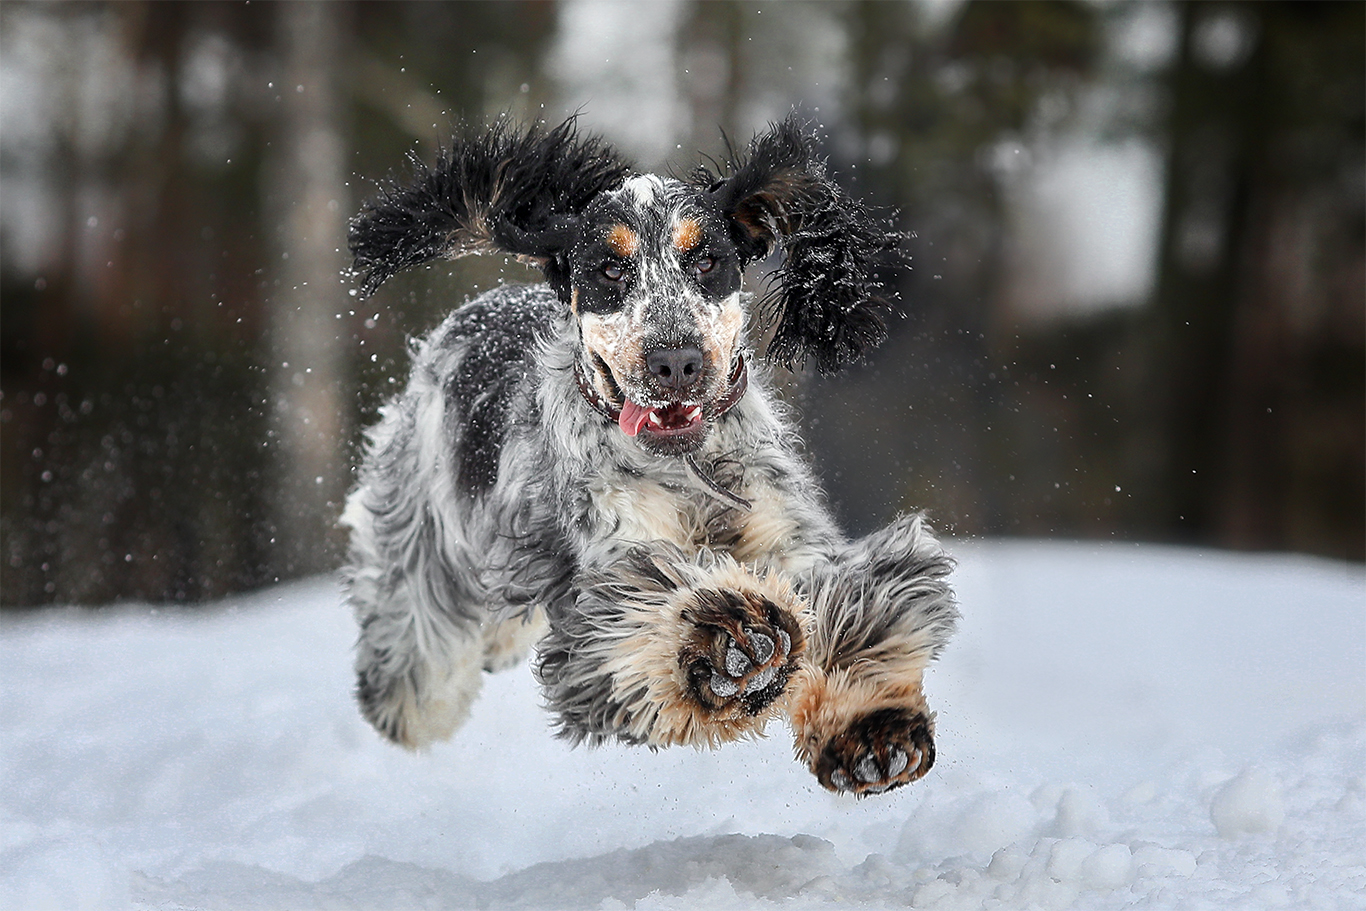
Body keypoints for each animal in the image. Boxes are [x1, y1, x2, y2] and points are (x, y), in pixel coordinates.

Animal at [344, 116, 961, 797]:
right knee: (415, 664)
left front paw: (871, 730)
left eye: (707, 259)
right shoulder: (613, 572)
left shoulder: (791, 541)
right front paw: (728, 644)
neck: (691, 469)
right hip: (421, 559)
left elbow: (853, 605)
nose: (675, 361)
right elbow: (653, 611)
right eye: (610, 270)